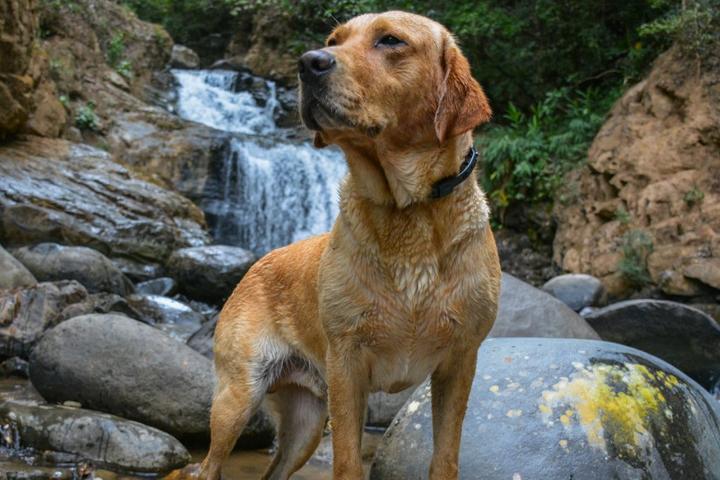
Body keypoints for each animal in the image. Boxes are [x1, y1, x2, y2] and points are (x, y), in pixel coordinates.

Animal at [174, 8, 500, 480]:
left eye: (390, 40)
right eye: (334, 40)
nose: (308, 62)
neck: (408, 211)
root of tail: (256, 263)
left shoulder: (459, 363)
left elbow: (445, 458)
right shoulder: (347, 366)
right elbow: (347, 460)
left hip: (307, 421)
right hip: (239, 396)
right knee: (208, 465)